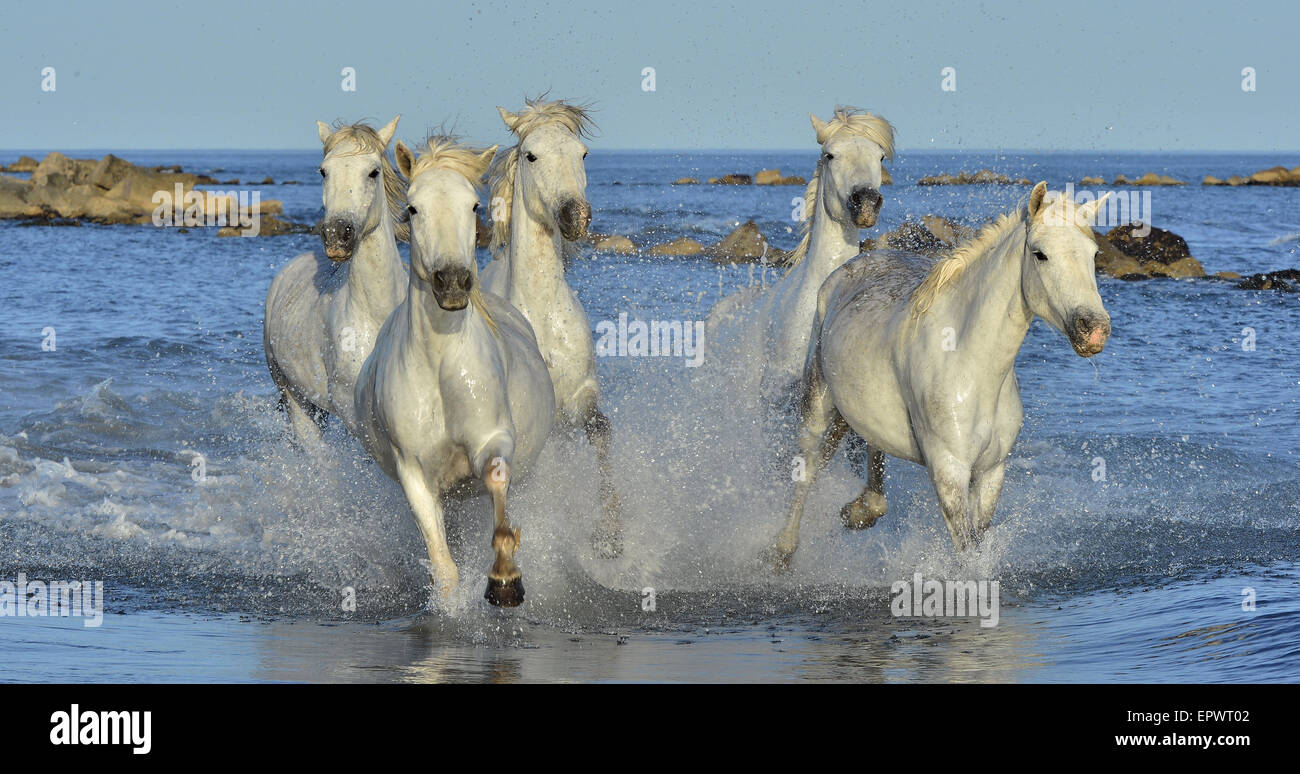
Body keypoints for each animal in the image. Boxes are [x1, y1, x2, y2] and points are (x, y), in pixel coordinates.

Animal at [263, 114, 405, 442]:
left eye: (373, 171)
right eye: (323, 171)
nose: (336, 234)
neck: (375, 314)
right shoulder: (354, 413)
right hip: (295, 397)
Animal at [353, 141, 556, 611]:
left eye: (474, 205)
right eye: (413, 208)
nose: (453, 283)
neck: (442, 367)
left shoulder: (493, 439)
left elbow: (497, 482)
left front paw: (505, 579)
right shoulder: (414, 472)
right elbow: (442, 563)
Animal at [478, 98, 624, 556]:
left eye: (583, 153)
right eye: (531, 155)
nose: (575, 216)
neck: (541, 316)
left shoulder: (579, 396)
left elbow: (600, 430)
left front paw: (610, 534)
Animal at [764, 183, 1112, 567]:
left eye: (1094, 254)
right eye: (1040, 254)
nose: (1094, 329)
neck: (970, 367)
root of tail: (847, 268)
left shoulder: (990, 473)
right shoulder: (949, 473)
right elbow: (967, 555)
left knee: (871, 453)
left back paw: (860, 511)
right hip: (816, 400)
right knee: (808, 467)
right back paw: (782, 551)